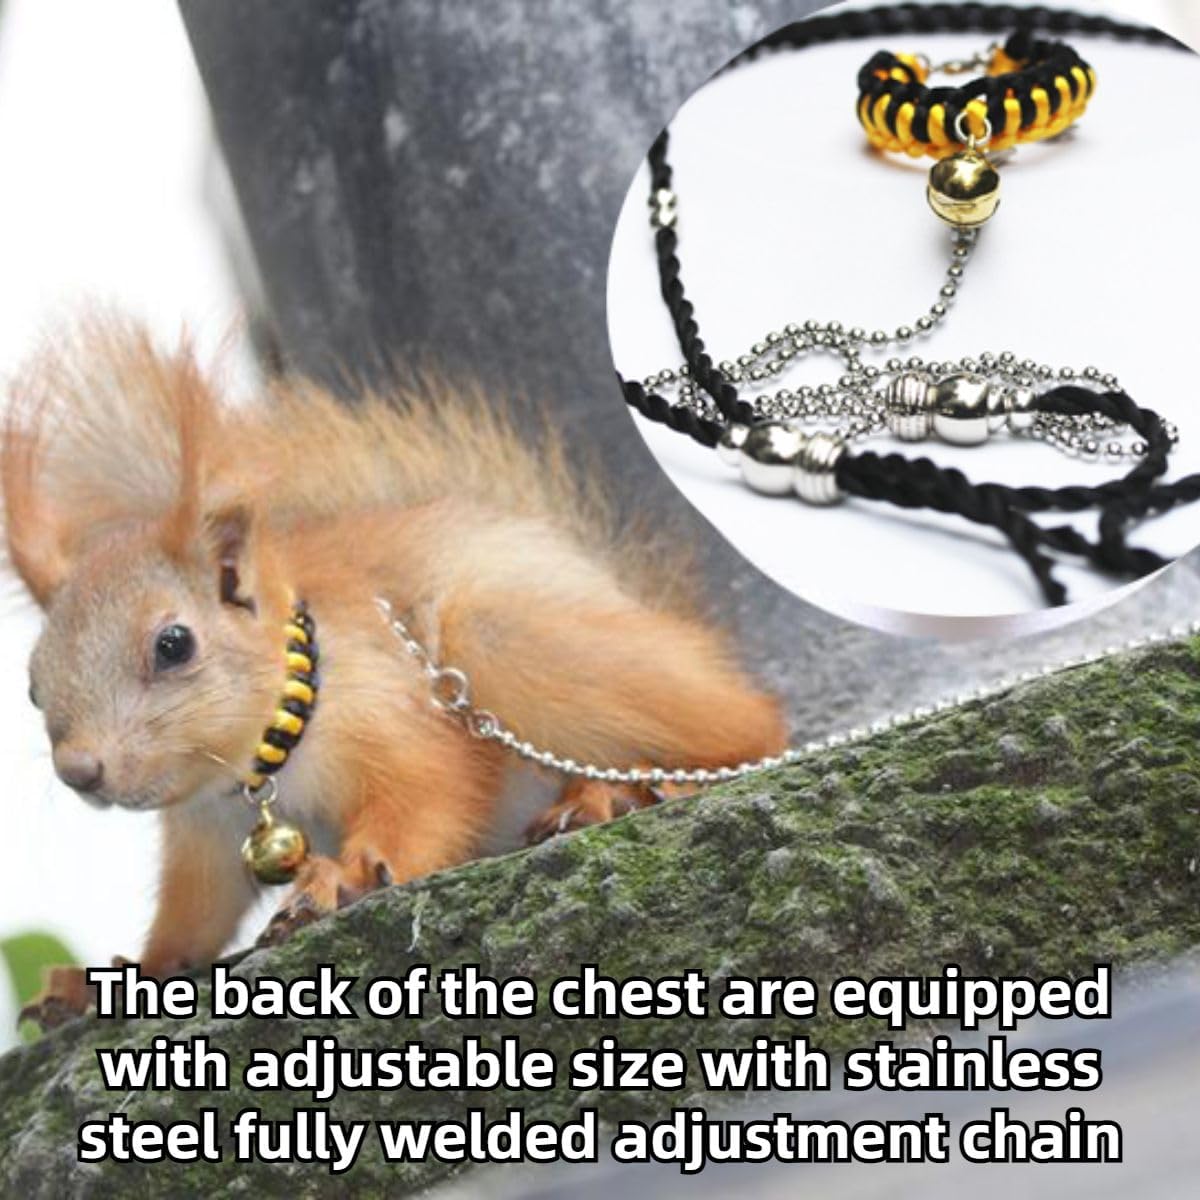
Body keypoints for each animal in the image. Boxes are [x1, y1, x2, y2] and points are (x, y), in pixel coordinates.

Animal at [1, 314, 786, 1025]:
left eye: (173, 645)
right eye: (33, 686)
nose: (81, 771)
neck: (262, 766)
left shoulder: (393, 719)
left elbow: (427, 799)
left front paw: (344, 874)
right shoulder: (206, 836)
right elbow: (191, 921)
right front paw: (109, 978)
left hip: (503, 638)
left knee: (752, 728)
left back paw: (627, 788)